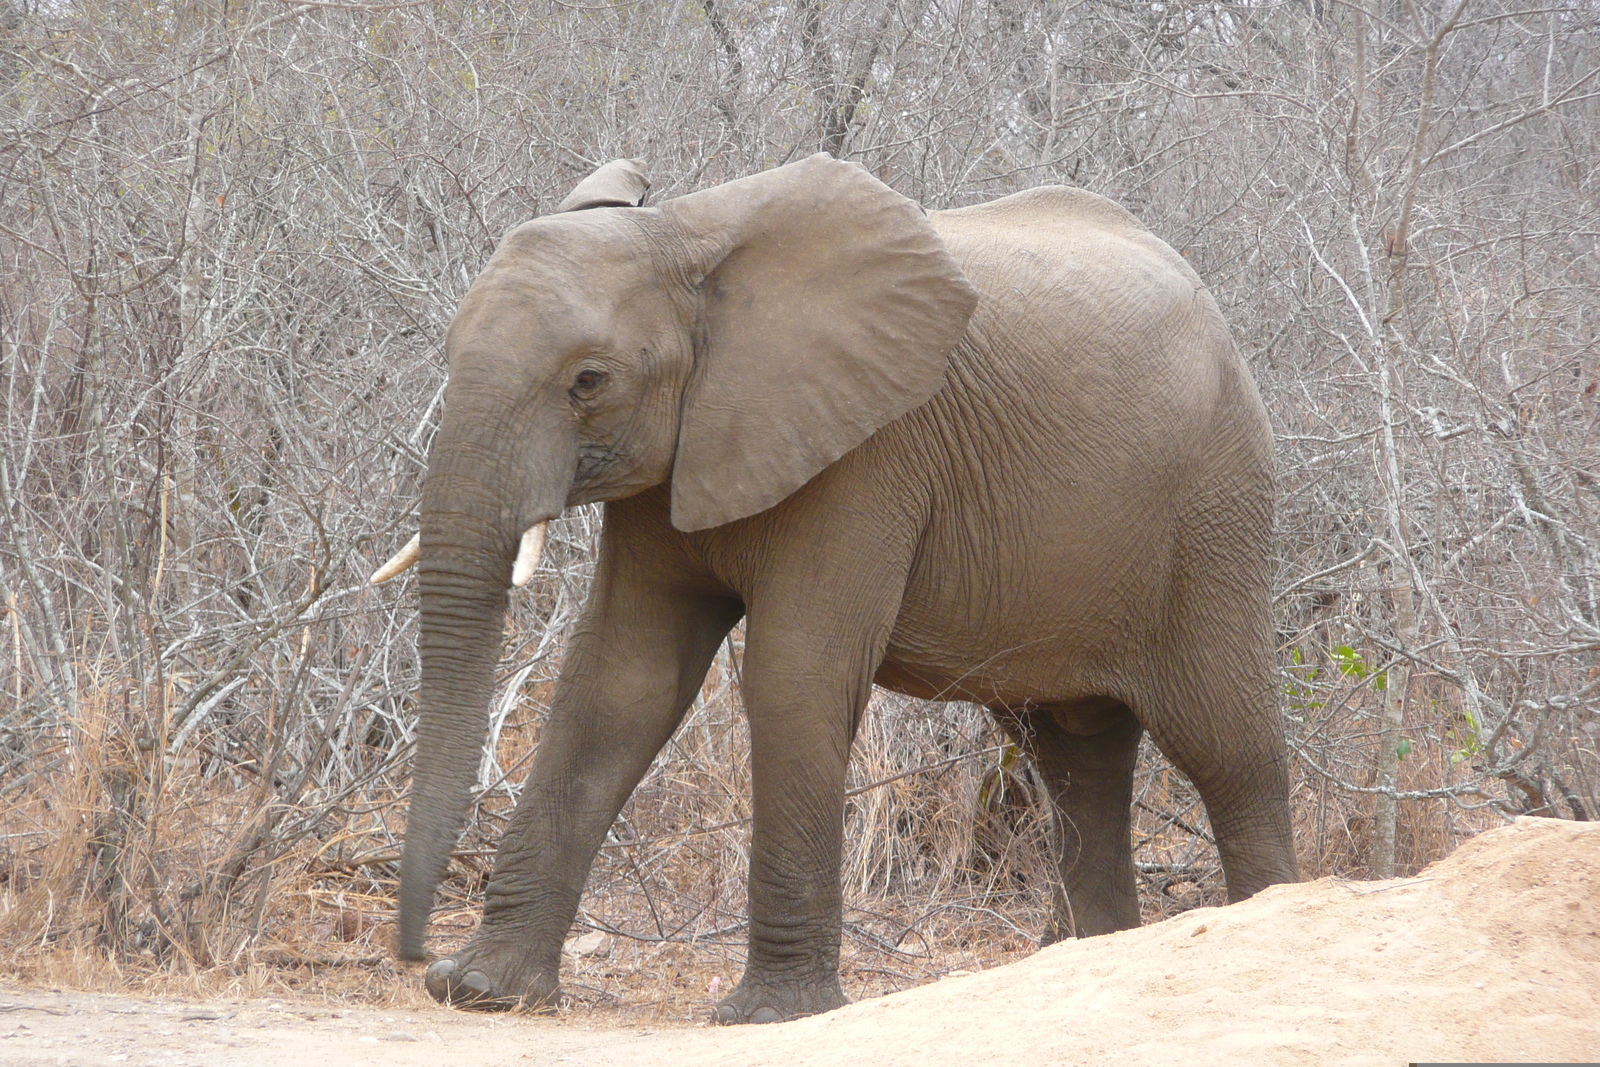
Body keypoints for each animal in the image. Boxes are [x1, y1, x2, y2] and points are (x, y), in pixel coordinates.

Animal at [374, 154, 1299, 1023]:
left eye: (588, 380)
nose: (414, 955)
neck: (688, 238)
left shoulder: (867, 455)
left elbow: (794, 678)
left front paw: (765, 1014)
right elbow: (620, 684)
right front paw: (484, 991)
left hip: (1212, 508)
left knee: (1224, 741)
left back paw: (1263, 913)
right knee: (1073, 750)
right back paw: (1074, 956)